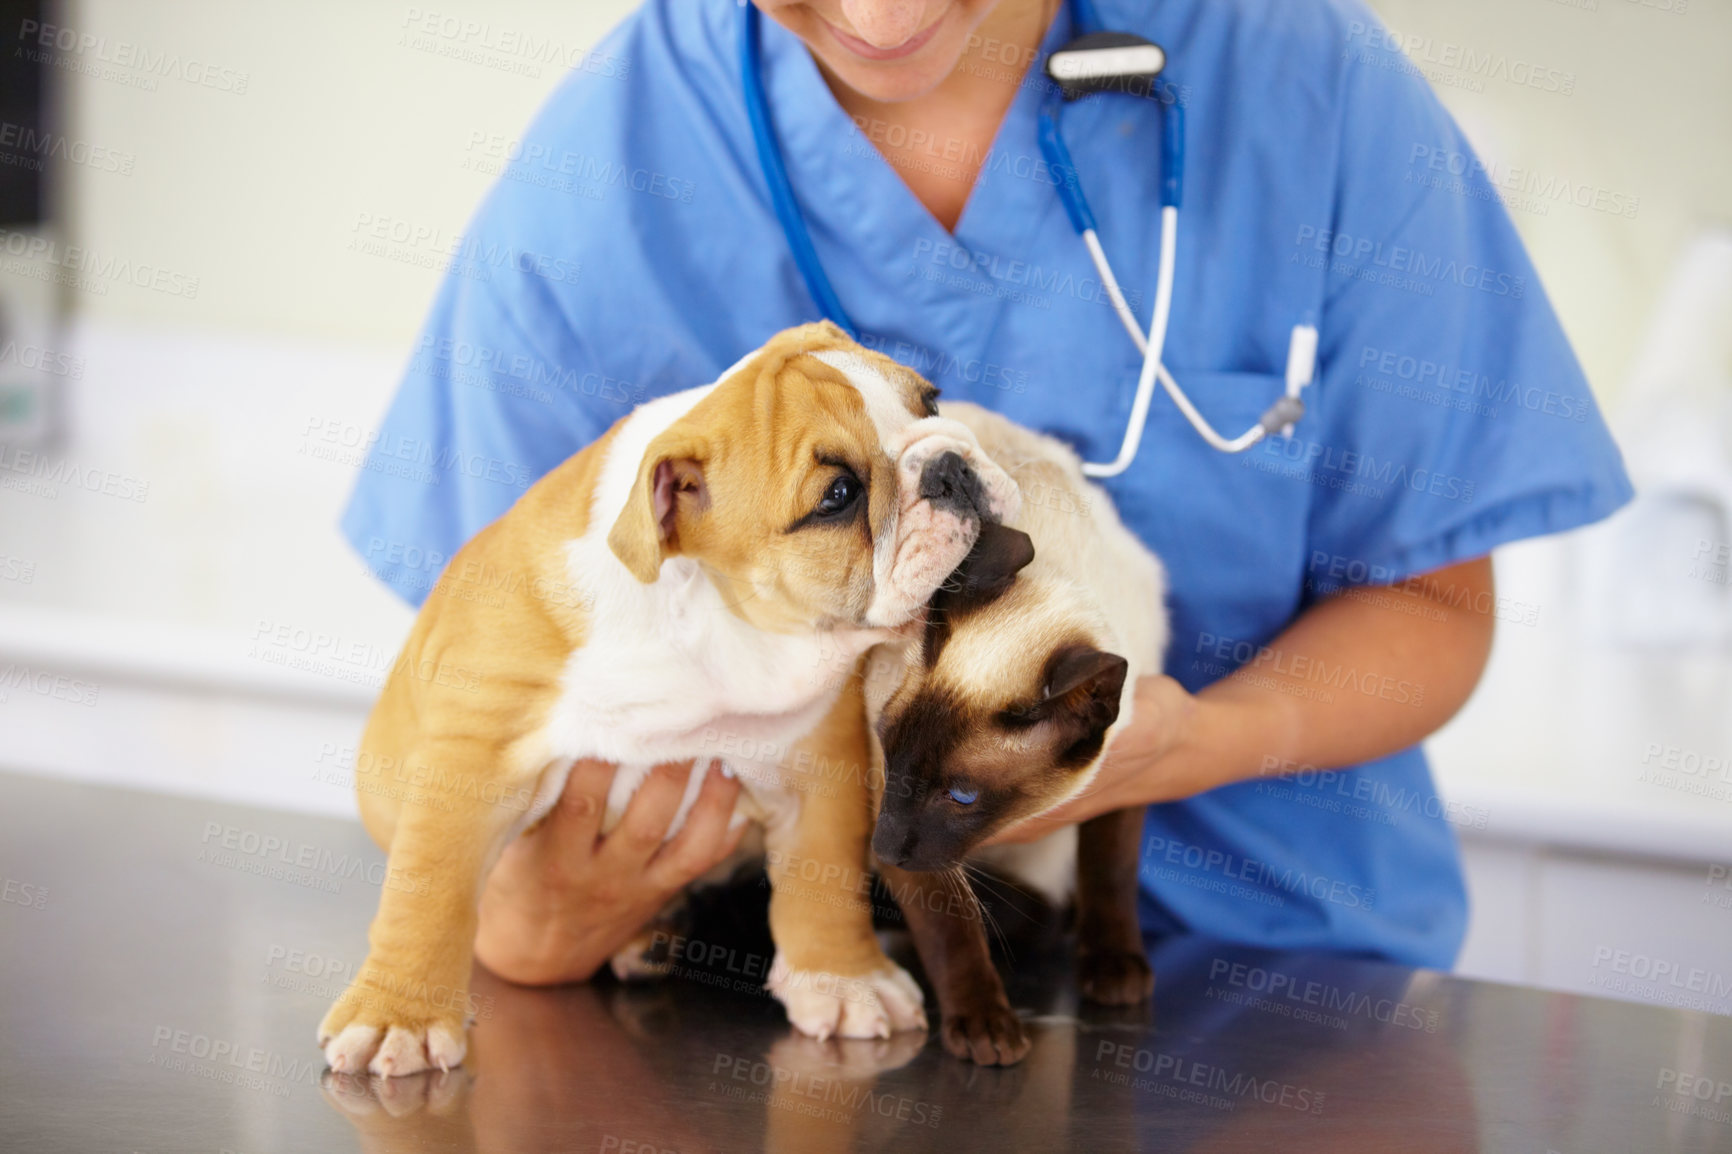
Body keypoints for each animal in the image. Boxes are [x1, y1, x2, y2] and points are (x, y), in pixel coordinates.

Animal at [320, 320, 1018, 1067]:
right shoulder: (472, 758)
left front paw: (845, 980)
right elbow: (431, 890)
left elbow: (825, 877)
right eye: (838, 497)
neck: (708, 607)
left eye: (931, 402)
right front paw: (400, 1017)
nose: (950, 468)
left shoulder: (820, 761)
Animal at [862, 398, 1163, 1060]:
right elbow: (950, 929)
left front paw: (1115, 969)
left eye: (962, 796)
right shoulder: (883, 800)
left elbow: (1109, 871)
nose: (880, 850)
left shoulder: (1131, 769)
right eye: (890, 757)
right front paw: (983, 1026)